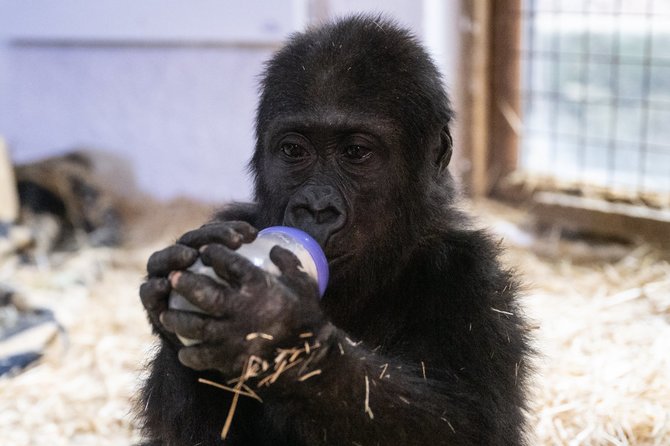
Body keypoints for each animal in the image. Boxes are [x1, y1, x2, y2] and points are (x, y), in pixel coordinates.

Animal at [138, 13, 536, 446]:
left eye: (356, 152)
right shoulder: (233, 220)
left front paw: (274, 323)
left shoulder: (475, 277)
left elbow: (471, 424)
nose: (316, 207)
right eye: (294, 150)